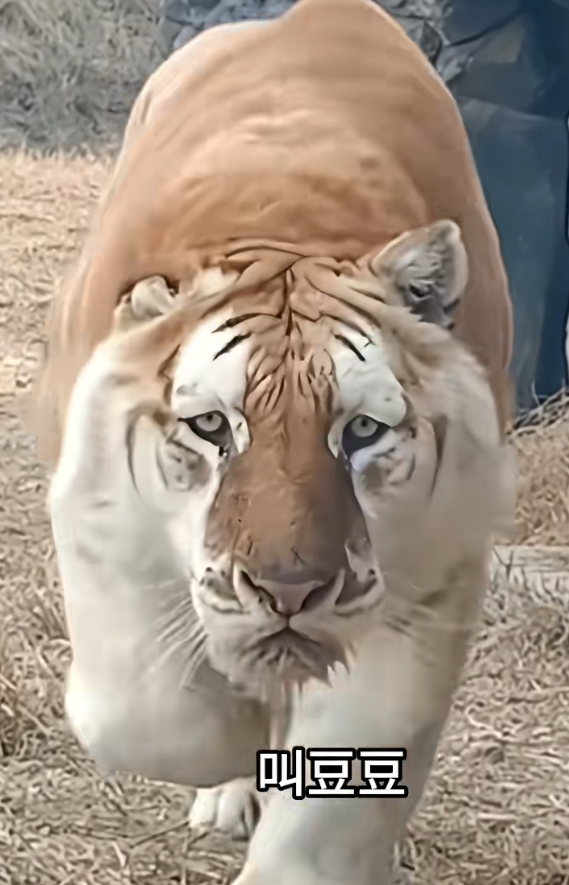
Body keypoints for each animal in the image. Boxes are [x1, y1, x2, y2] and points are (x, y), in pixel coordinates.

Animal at [35, 0, 516, 882]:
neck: (292, 229)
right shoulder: (104, 528)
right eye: (211, 426)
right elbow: (147, 711)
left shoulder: (430, 581)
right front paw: (234, 745)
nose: (289, 590)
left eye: (360, 431)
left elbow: (331, 810)